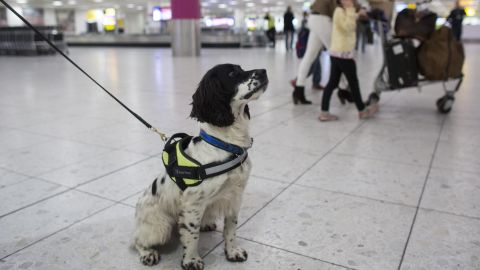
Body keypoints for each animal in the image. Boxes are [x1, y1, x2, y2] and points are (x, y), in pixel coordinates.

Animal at [133, 64, 268, 268]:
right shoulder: (193, 204)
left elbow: (231, 228)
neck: (227, 145)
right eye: (232, 73)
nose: (264, 71)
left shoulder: (235, 196)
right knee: (136, 240)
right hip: (160, 227)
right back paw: (148, 253)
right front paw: (191, 260)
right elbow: (191, 236)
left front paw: (232, 252)